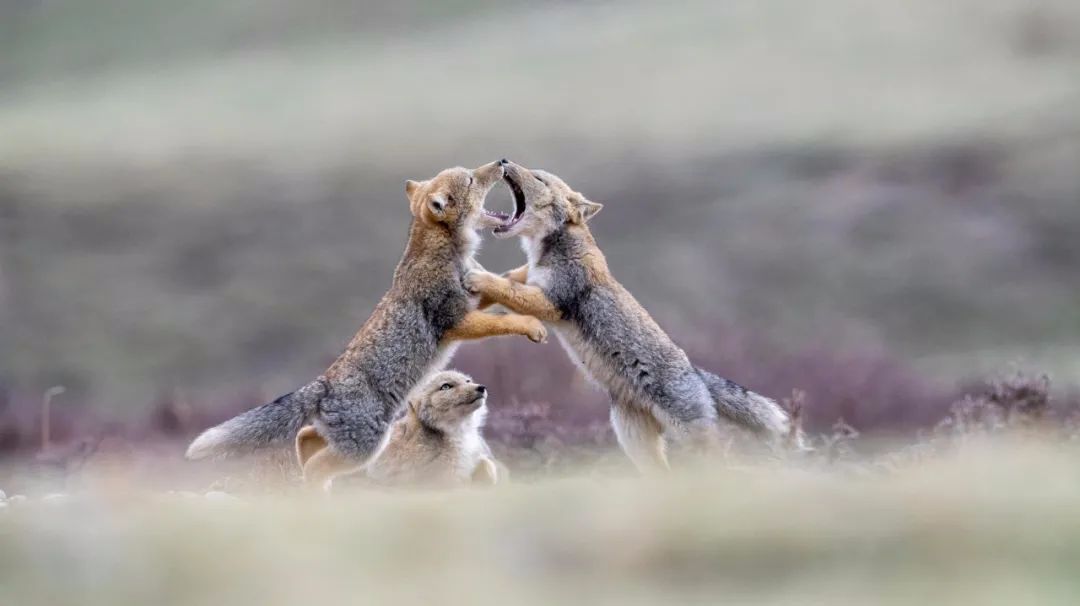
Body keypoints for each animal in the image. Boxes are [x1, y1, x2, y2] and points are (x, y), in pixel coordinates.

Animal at [464, 160, 803, 473]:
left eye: (538, 178)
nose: (504, 161)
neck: (546, 252)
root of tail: (694, 371)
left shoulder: (552, 301)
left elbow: (507, 287)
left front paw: (478, 278)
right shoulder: (532, 283)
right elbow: (510, 280)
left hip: (689, 438)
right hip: (633, 440)